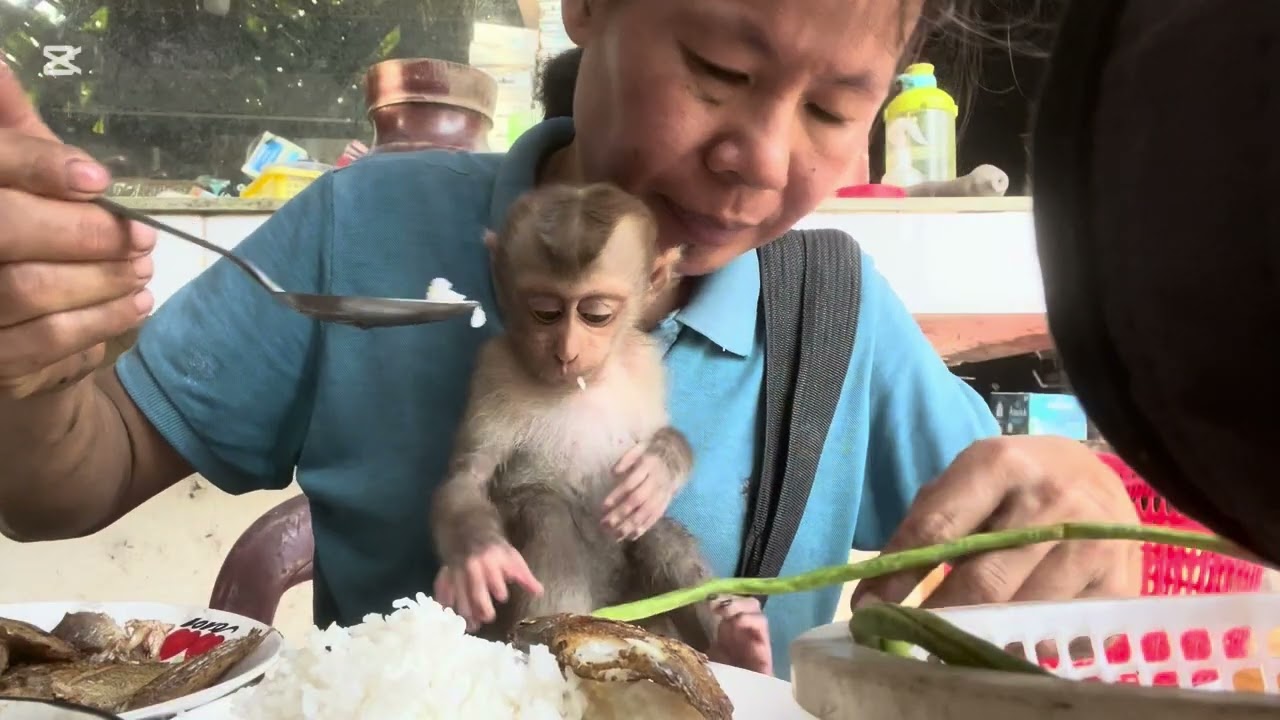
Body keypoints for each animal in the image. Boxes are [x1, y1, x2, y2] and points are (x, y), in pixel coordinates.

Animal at [428, 182, 734, 655]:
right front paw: (478, 556)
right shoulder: (494, 368)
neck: (581, 383)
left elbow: (658, 435)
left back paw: (740, 638)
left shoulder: (644, 362)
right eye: (545, 311)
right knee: (545, 510)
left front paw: (658, 468)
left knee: (655, 530)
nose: (566, 351)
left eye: (596, 314)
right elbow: (470, 476)